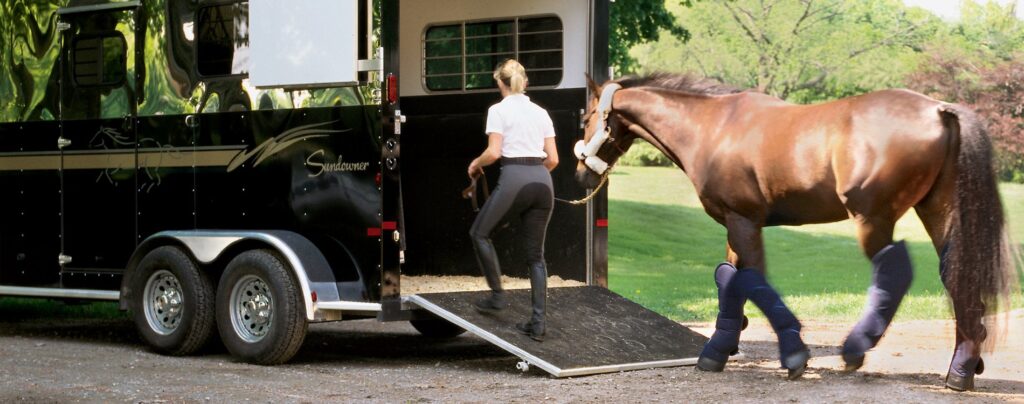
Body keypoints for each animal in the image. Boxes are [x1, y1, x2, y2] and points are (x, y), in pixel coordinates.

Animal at [577, 74, 1015, 390]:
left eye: (585, 119)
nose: (581, 172)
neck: (713, 127)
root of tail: (940, 109)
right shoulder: (736, 223)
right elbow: (730, 279)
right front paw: (719, 348)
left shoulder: (743, 220)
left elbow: (754, 280)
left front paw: (793, 353)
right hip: (936, 211)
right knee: (956, 272)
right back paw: (963, 365)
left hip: (872, 218)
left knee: (894, 272)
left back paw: (857, 349)